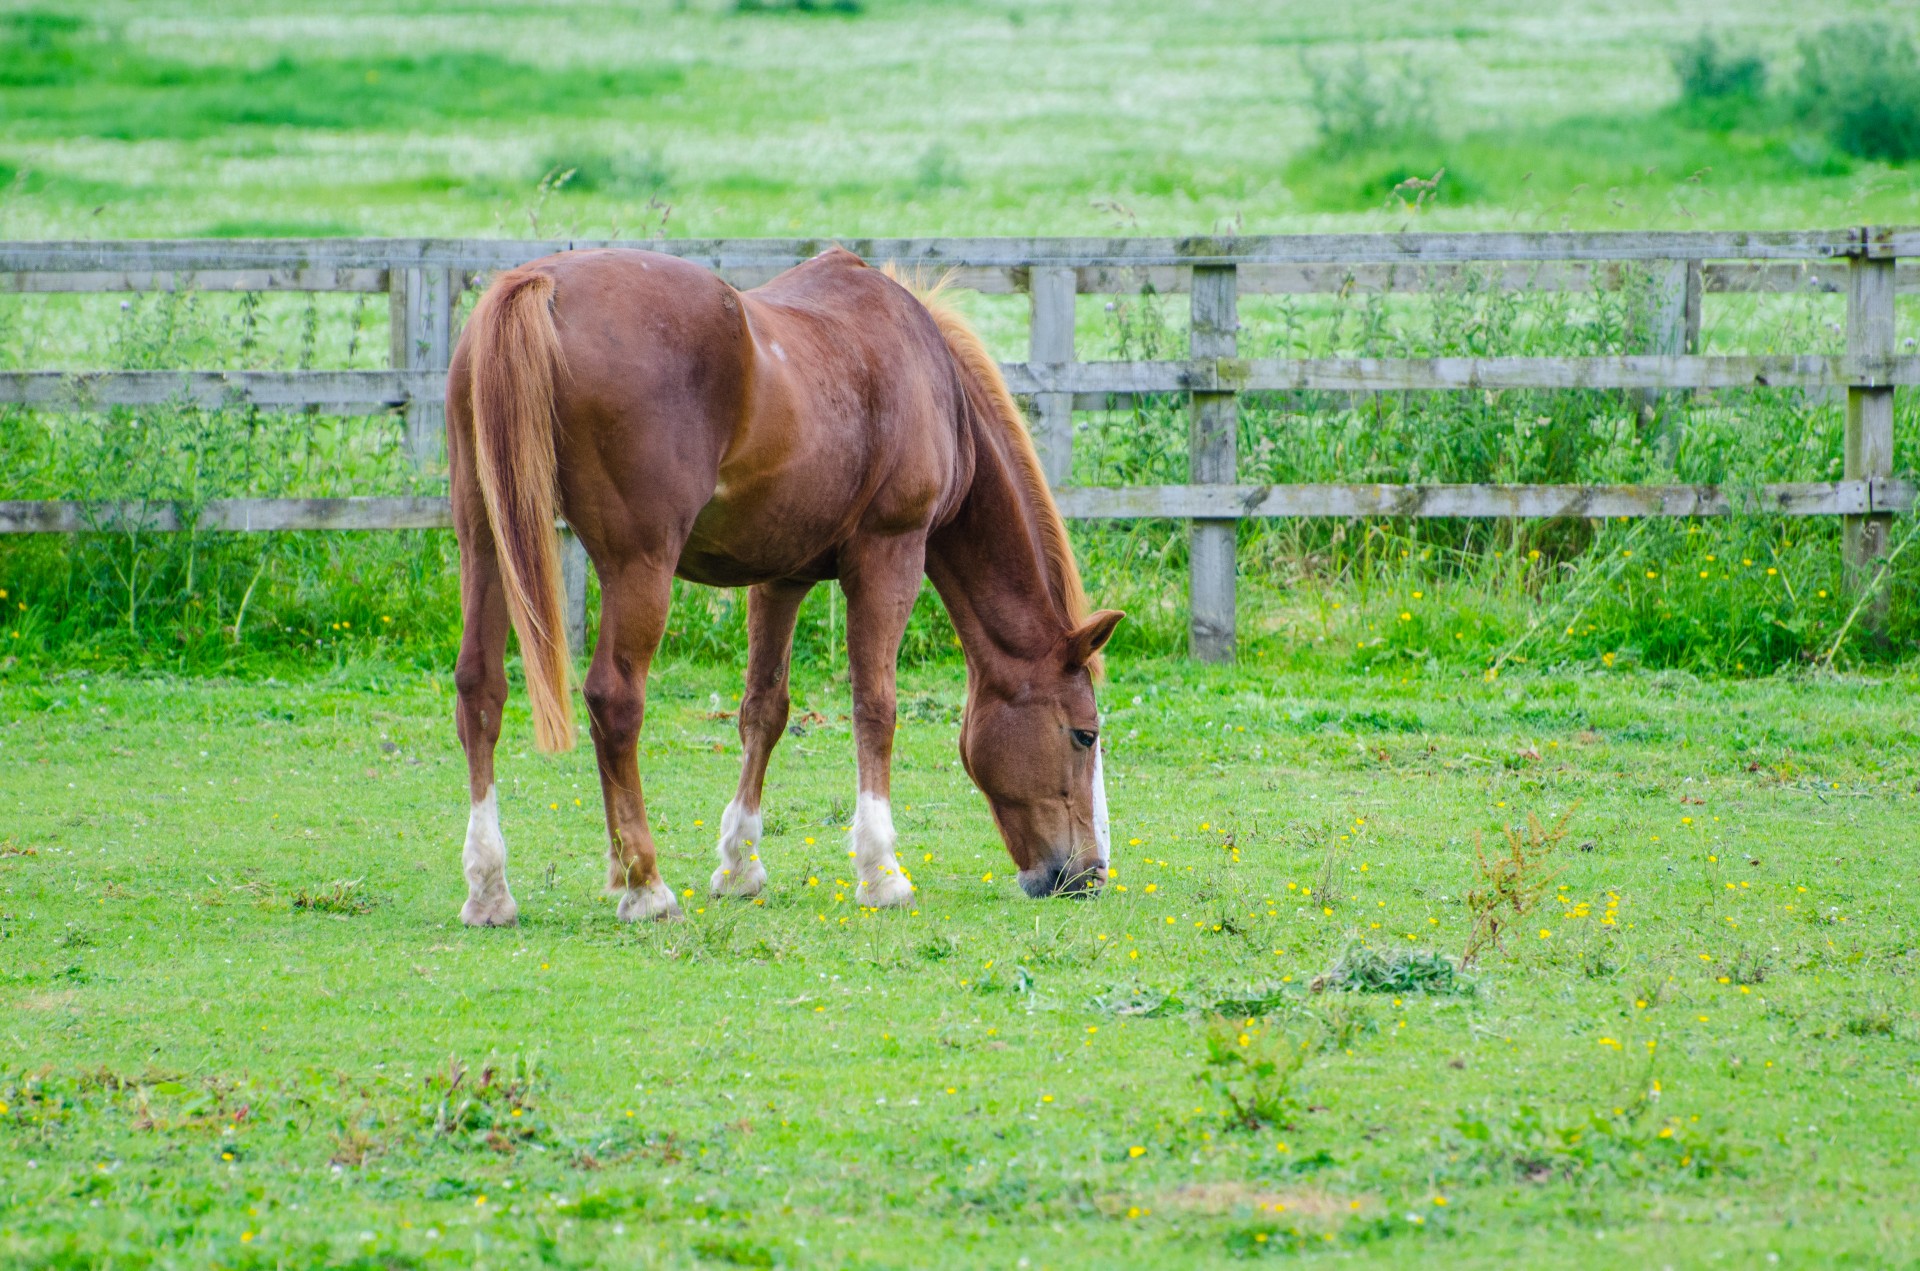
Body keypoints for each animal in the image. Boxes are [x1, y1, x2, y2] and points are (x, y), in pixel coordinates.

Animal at [441, 249, 1121, 925]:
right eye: (1084, 734)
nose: (1089, 876)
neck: (935, 385)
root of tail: (541, 282)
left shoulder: (780, 577)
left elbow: (764, 710)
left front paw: (739, 865)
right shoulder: (890, 555)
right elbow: (876, 705)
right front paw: (881, 872)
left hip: (485, 542)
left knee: (480, 687)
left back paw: (489, 888)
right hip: (639, 566)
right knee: (614, 699)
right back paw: (647, 886)